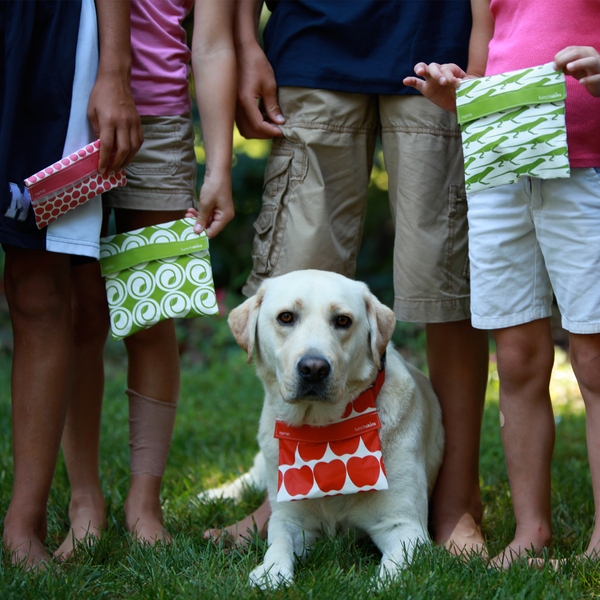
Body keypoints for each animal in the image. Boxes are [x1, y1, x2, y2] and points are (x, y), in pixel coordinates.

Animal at [210, 270, 440, 588]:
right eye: (286, 317)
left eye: (343, 321)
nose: (314, 368)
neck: (322, 432)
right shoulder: (290, 519)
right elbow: (278, 544)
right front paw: (271, 572)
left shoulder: (405, 526)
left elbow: (390, 573)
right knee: (247, 479)